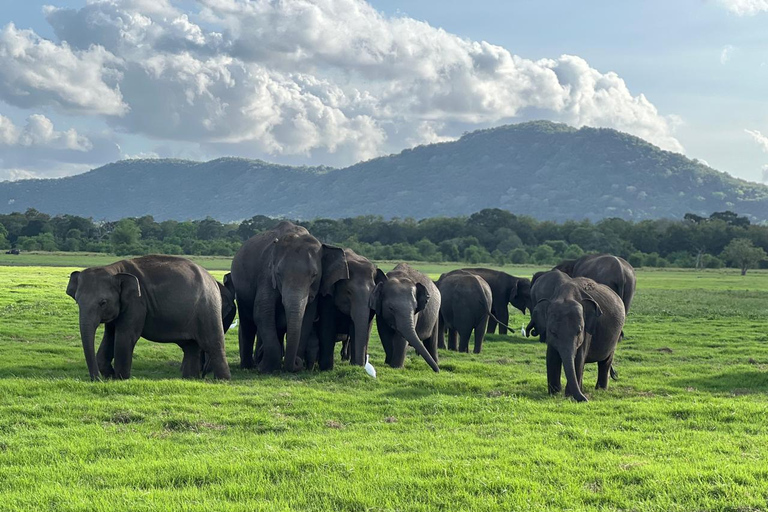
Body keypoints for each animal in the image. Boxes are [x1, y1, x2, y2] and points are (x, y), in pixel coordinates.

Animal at [64, 255, 232, 380]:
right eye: (77, 301)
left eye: (102, 302)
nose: (96, 379)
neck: (114, 269)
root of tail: (213, 280)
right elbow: (110, 335)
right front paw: (109, 374)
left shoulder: (137, 302)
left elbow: (125, 335)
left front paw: (120, 378)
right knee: (190, 347)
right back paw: (189, 379)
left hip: (208, 308)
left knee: (213, 344)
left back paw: (222, 380)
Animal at [228, 220, 348, 372]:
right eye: (279, 273)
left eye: (314, 275)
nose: (297, 362)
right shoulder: (266, 275)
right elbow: (262, 312)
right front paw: (266, 367)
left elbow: (307, 317)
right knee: (247, 322)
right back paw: (248, 366)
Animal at [532, 270, 628, 402]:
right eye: (552, 332)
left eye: (579, 331)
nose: (586, 399)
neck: (566, 295)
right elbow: (551, 356)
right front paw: (554, 393)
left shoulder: (588, 328)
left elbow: (579, 357)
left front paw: (569, 395)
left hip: (615, 336)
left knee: (606, 361)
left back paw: (600, 389)